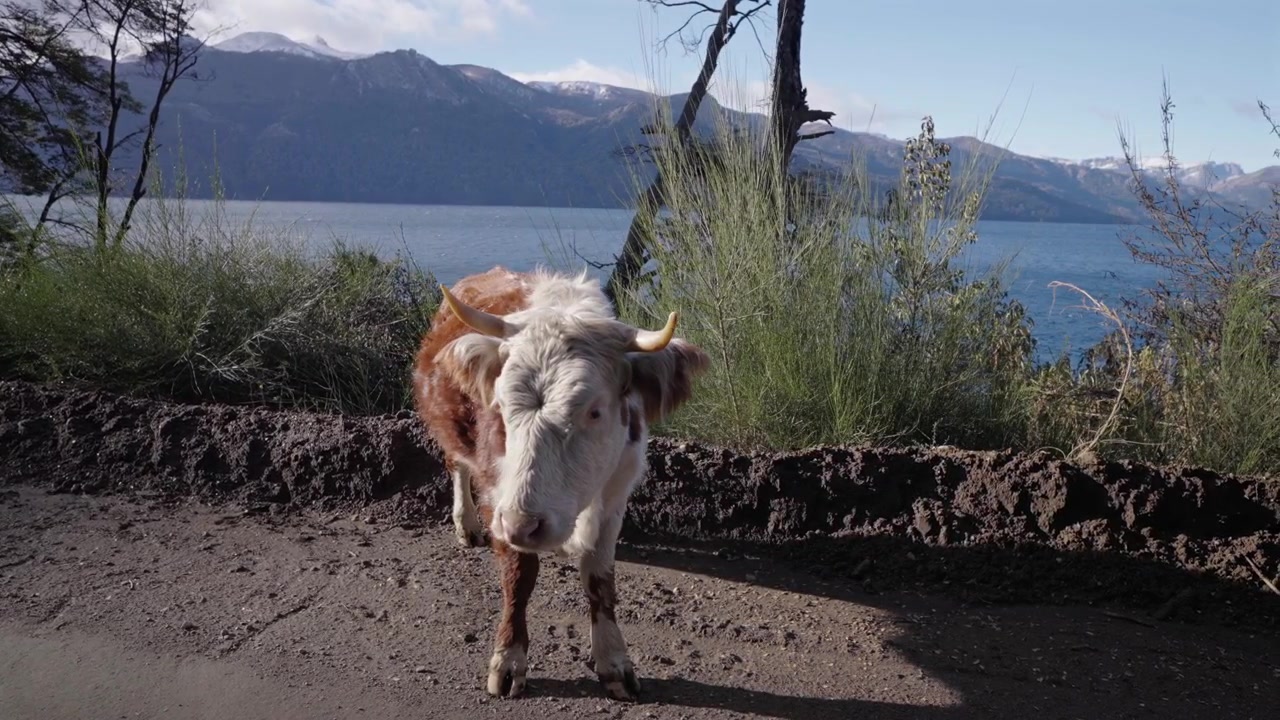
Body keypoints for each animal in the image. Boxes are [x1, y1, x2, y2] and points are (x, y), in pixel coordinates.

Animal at [411, 266, 709, 701]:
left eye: (595, 411)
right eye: (501, 405)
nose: (525, 525)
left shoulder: (615, 497)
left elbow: (600, 579)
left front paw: (614, 663)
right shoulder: (502, 499)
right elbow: (519, 576)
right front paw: (508, 660)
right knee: (457, 468)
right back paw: (466, 524)